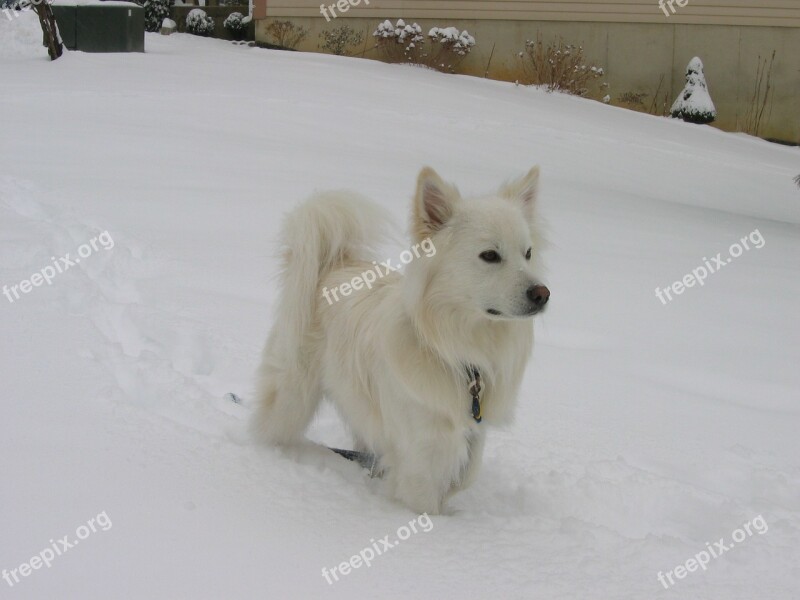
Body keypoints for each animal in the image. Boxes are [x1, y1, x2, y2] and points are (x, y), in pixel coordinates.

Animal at [252, 166, 552, 512]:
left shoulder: (473, 435)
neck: (458, 351)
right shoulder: (422, 450)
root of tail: (332, 264)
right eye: (489, 255)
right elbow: (424, 501)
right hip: (292, 395)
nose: (543, 294)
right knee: (269, 428)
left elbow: (466, 476)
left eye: (528, 253)